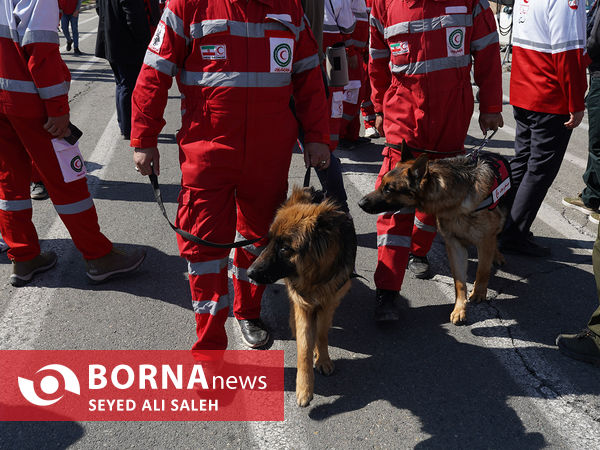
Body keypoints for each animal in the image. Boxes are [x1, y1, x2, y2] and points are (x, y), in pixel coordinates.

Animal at [247, 186, 356, 408]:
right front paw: (304, 388)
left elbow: (321, 334)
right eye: (269, 240)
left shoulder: (328, 302)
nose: (249, 273)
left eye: (284, 248)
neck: (315, 277)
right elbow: (304, 346)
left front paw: (322, 359)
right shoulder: (303, 304)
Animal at [358, 149, 512, 326]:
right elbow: (459, 282)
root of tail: (495, 153)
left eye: (389, 189)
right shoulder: (454, 245)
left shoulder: (484, 241)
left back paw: (497, 255)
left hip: (501, 220)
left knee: (497, 236)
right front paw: (459, 309)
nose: (360, 203)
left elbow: (482, 270)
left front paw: (479, 293)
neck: (454, 200)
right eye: (382, 183)